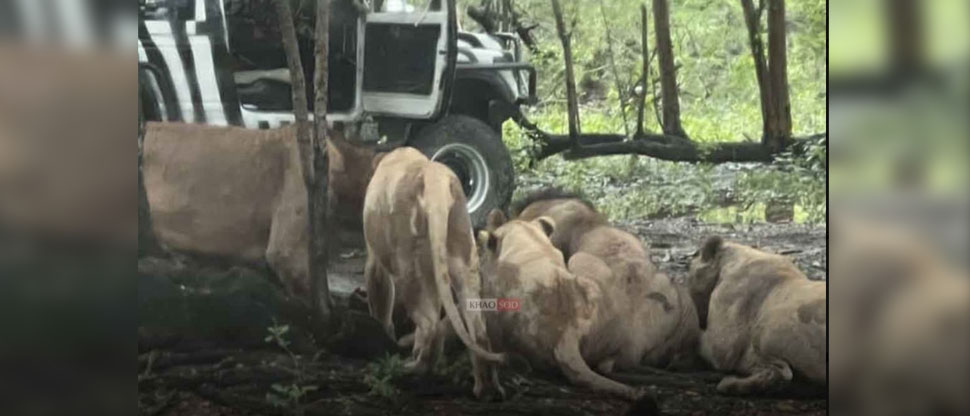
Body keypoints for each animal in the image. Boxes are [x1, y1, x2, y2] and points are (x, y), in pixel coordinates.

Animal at [362, 147, 504, 399]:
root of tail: (434, 178)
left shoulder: (375, 259)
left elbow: (380, 300)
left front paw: (384, 335)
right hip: (463, 260)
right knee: (478, 331)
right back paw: (486, 388)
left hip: (409, 266)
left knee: (431, 325)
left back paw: (412, 368)